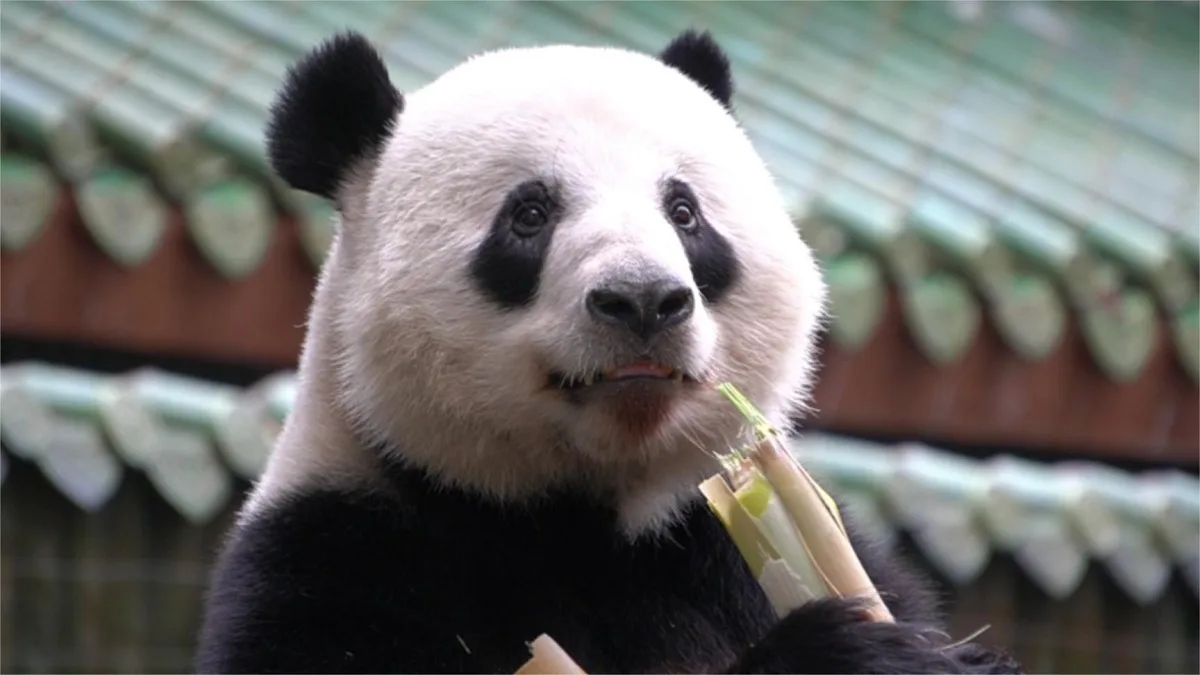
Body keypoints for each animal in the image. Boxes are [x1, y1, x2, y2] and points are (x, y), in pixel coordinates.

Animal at [195, 29, 1021, 675]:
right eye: (529, 213)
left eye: (683, 211)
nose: (644, 300)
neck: (585, 514)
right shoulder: (336, 559)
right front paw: (847, 653)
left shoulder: (707, 542)